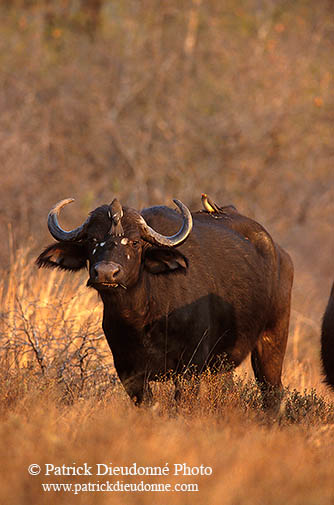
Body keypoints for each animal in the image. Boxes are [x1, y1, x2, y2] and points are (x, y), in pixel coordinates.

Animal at [37, 197, 292, 410]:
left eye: (135, 242)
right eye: (92, 239)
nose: (107, 273)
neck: (142, 319)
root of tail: (280, 254)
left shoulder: (189, 368)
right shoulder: (128, 370)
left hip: (272, 338)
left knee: (272, 392)